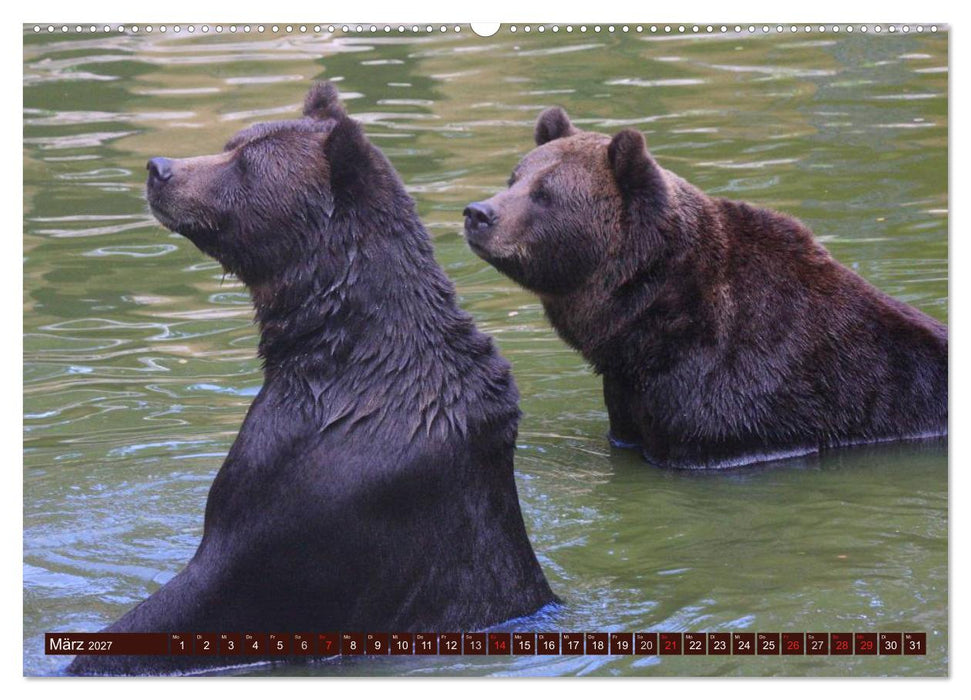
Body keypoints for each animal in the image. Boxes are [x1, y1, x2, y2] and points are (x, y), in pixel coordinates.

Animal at [66, 83, 556, 675]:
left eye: (245, 163)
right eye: (232, 143)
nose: (160, 168)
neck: (340, 353)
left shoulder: (307, 491)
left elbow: (205, 590)